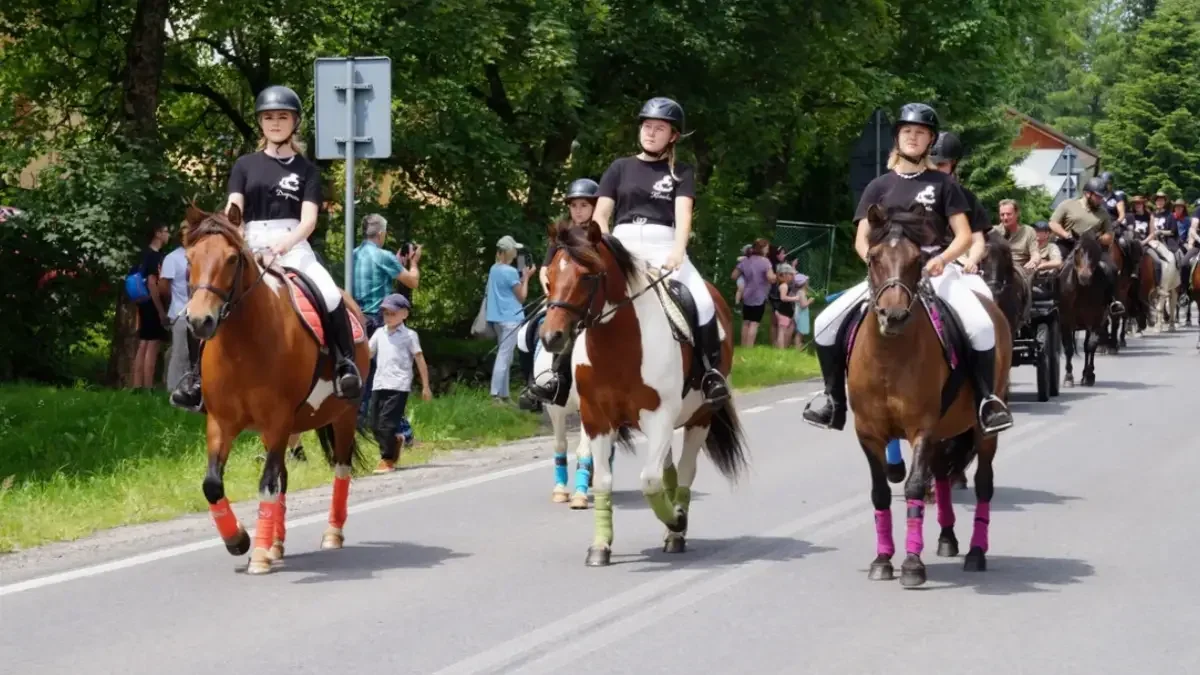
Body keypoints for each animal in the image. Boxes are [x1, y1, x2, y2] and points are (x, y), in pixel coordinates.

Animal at [180, 204, 367, 571]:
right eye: (189, 257)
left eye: (232, 258)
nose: (199, 321)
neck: (243, 345)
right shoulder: (221, 422)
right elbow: (213, 485)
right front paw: (239, 540)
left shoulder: (277, 419)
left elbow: (266, 484)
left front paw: (259, 554)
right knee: (284, 476)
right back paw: (277, 543)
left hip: (344, 415)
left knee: (341, 468)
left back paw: (331, 534)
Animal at [540, 218, 744, 564]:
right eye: (550, 277)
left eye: (586, 277)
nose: (551, 337)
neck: (619, 346)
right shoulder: (596, 418)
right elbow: (603, 480)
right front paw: (600, 546)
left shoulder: (658, 416)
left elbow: (649, 481)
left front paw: (676, 520)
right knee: (670, 471)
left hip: (698, 418)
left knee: (684, 471)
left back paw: (676, 530)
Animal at [849, 204, 1008, 583]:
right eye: (874, 258)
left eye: (917, 260)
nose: (893, 316)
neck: (888, 357)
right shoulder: (868, 432)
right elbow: (880, 492)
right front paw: (882, 560)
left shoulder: (921, 427)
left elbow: (914, 487)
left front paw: (911, 564)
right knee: (943, 476)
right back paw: (947, 539)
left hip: (983, 431)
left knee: (983, 483)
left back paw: (976, 553)